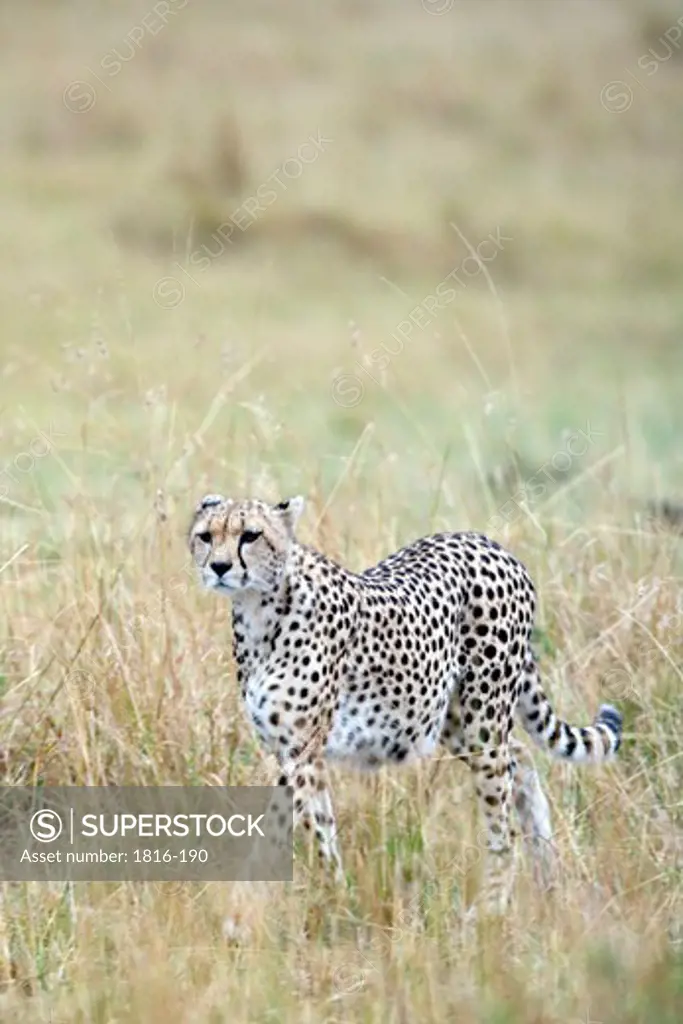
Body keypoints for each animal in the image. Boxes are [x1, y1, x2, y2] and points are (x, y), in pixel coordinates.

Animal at [189, 493, 622, 913]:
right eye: (206, 537)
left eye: (250, 535)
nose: (221, 567)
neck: (258, 609)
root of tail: (490, 543)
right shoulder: (288, 749)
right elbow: (301, 822)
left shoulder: (303, 747)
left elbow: (301, 825)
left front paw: (323, 899)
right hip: (446, 719)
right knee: (520, 757)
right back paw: (545, 868)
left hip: (481, 720)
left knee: (503, 815)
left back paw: (492, 907)